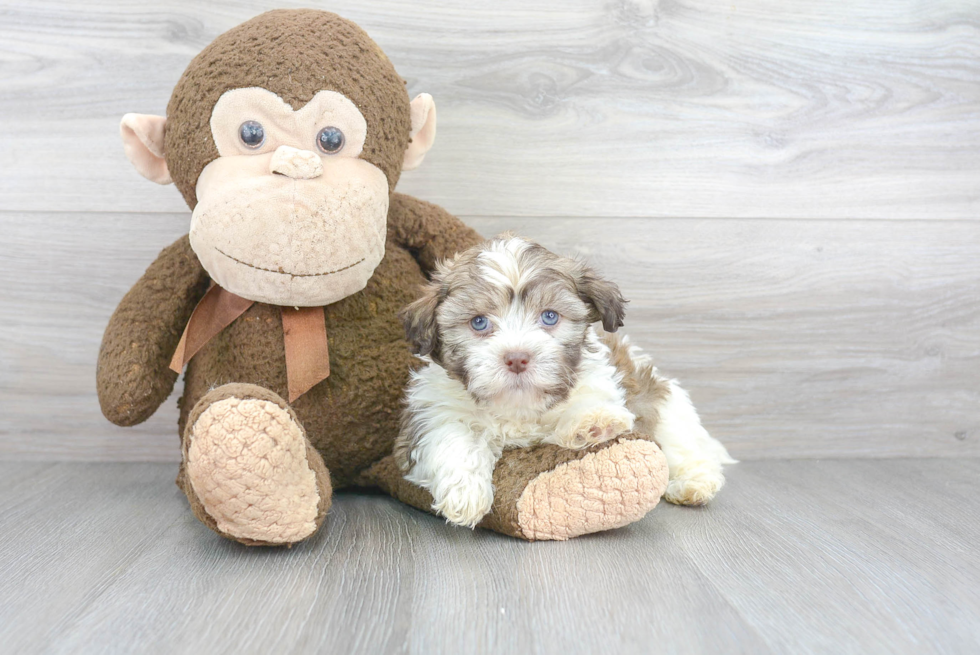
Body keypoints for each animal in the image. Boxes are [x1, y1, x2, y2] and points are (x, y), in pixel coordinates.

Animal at [394, 236, 732, 528]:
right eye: (479, 322)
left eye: (550, 317)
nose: (517, 358)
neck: (519, 406)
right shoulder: (430, 413)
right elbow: (451, 437)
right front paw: (465, 494)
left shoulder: (600, 380)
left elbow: (591, 400)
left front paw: (593, 422)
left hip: (663, 402)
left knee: (681, 446)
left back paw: (693, 483)